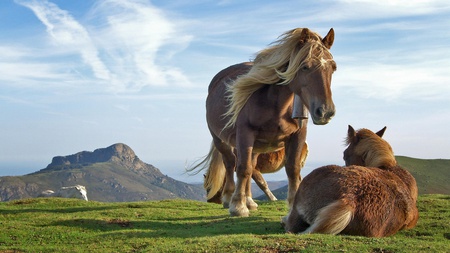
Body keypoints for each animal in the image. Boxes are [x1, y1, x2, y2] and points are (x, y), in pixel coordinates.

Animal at [188, 28, 336, 217]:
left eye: (333, 68)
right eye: (305, 66)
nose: (325, 112)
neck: (276, 104)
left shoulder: (298, 135)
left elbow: (292, 170)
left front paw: (292, 207)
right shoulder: (245, 134)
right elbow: (243, 169)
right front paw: (238, 207)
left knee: (250, 166)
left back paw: (249, 200)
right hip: (220, 139)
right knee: (230, 163)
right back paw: (230, 198)